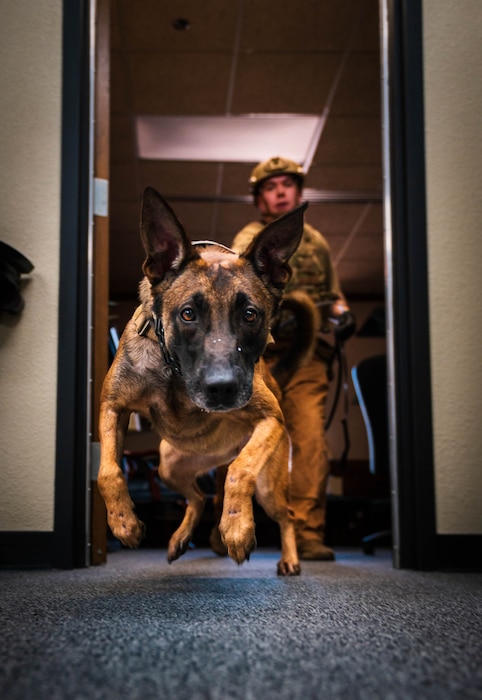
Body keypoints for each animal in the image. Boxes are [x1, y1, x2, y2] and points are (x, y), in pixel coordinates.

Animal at [100, 186, 314, 576]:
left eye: (250, 315)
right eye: (188, 314)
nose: (222, 389)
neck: (173, 374)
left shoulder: (270, 420)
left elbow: (240, 473)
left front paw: (237, 528)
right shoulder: (113, 407)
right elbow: (108, 471)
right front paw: (123, 522)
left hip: (269, 486)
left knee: (283, 512)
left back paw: (289, 557)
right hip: (168, 466)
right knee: (197, 498)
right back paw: (179, 538)